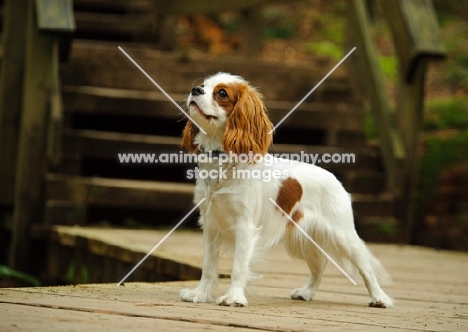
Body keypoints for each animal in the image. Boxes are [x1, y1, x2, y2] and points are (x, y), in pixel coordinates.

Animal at [180, 72, 394, 308]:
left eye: (222, 93)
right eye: (202, 85)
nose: (195, 90)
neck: (222, 160)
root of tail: (336, 181)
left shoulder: (244, 226)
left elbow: (238, 267)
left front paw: (233, 297)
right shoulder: (210, 225)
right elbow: (208, 267)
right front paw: (200, 294)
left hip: (343, 236)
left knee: (366, 268)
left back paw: (379, 298)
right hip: (301, 241)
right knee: (319, 268)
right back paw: (307, 292)